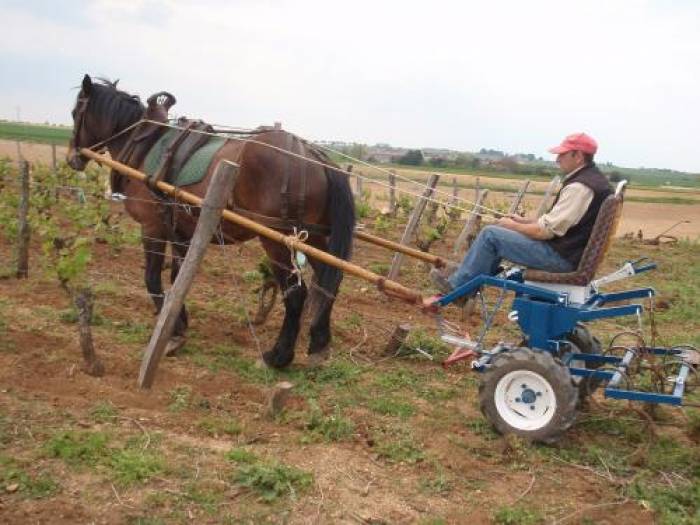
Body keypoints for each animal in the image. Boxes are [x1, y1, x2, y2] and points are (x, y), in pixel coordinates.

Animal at [67, 74, 356, 368]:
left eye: (75, 113)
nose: (72, 159)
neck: (143, 146)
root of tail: (313, 156)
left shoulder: (152, 227)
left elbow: (152, 279)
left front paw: (173, 334)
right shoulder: (181, 231)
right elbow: (177, 277)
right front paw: (177, 324)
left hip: (277, 240)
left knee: (297, 295)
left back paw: (278, 356)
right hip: (315, 236)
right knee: (328, 283)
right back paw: (319, 345)